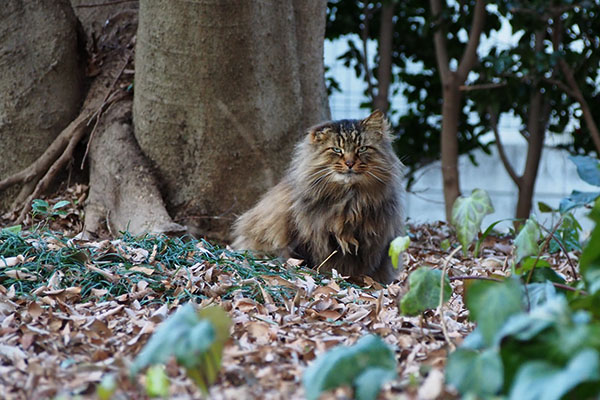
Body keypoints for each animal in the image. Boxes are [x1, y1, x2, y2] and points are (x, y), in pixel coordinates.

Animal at [232, 111, 406, 282]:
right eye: (337, 150)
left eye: (362, 148)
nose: (349, 163)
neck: (351, 200)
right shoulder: (308, 238)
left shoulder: (373, 242)